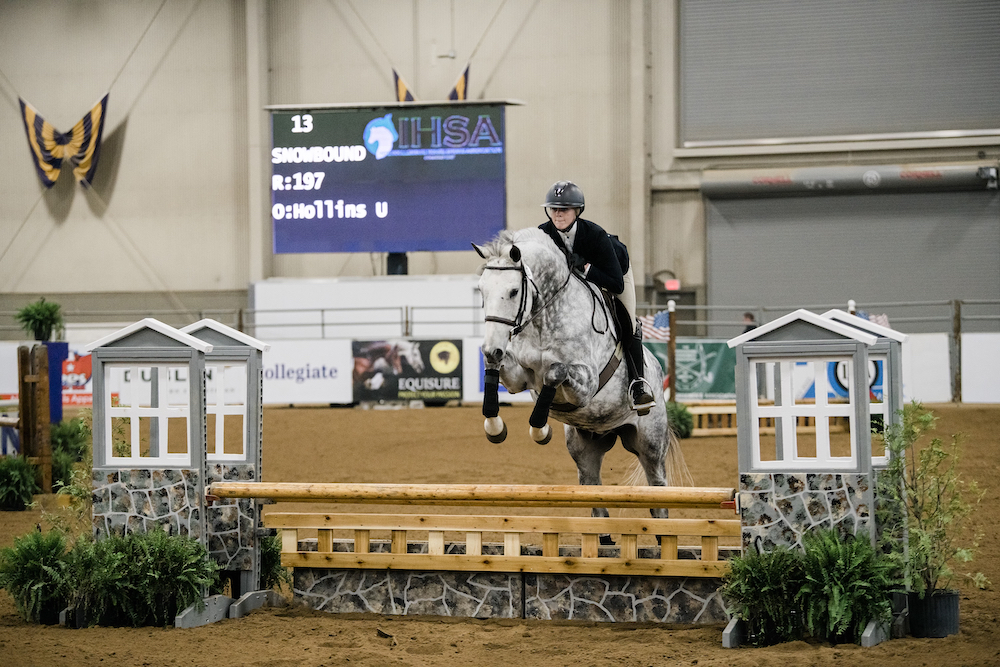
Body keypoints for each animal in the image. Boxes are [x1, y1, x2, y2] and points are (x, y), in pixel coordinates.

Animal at [472, 230, 684, 528]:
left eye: (513, 291)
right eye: (482, 290)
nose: (493, 347)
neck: (545, 319)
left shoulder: (585, 384)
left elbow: (555, 371)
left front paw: (539, 429)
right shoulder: (517, 378)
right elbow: (495, 367)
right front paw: (495, 426)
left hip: (650, 445)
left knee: (658, 496)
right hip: (585, 448)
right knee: (596, 499)